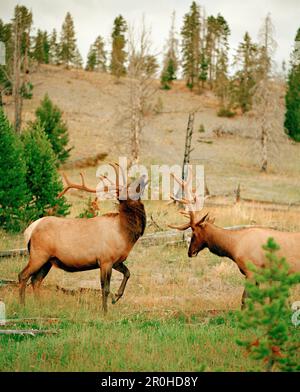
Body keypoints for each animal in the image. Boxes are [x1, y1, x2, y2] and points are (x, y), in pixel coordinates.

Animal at [18, 164, 148, 314]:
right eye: (130, 188)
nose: (143, 176)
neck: (124, 234)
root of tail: (29, 230)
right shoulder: (105, 260)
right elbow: (105, 288)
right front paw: (105, 312)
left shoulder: (116, 261)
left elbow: (128, 273)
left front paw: (116, 297)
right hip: (38, 254)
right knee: (23, 276)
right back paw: (23, 306)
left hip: (48, 260)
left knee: (35, 280)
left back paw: (39, 306)